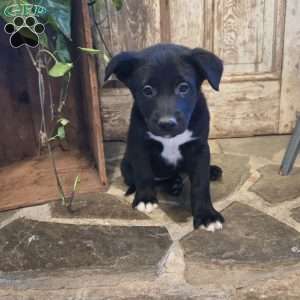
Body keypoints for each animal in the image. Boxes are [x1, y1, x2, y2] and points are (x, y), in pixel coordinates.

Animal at [104, 43, 224, 231]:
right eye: (147, 90)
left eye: (183, 87)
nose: (167, 123)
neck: (171, 139)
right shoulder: (140, 147)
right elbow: (144, 174)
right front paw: (145, 198)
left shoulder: (199, 149)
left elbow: (200, 183)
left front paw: (206, 215)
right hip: (126, 166)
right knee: (152, 179)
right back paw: (172, 184)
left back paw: (209, 171)